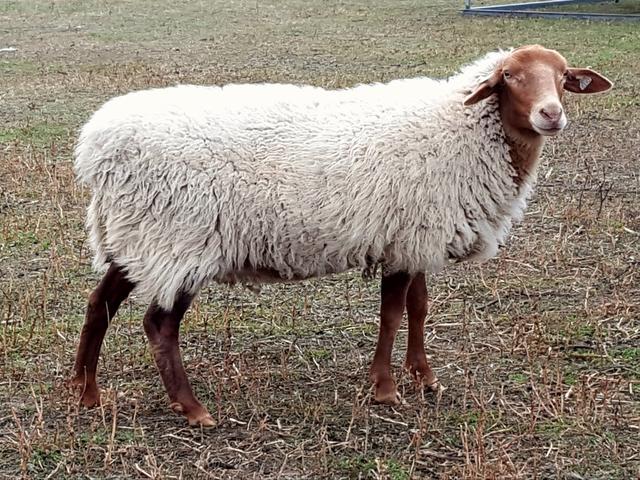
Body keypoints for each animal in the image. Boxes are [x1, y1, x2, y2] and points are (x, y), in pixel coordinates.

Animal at [70, 45, 612, 426]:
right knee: (159, 325)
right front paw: (386, 389)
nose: (551, 115)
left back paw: (86, 393)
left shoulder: (415, 236)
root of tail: (98, 150)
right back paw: (193, 409)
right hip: (179, 241)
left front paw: (425, 378)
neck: (462, 129)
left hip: (136, 237)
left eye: (563, 78)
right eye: (510, 77)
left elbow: (419, 308)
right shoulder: (405, 235)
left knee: (99, 304)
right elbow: (392, 314)